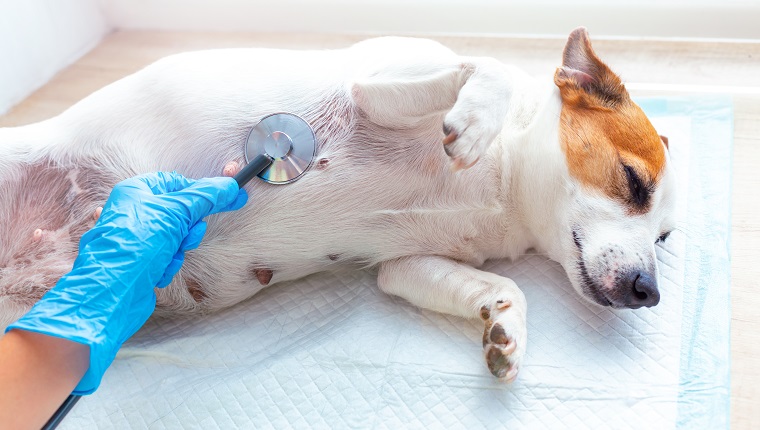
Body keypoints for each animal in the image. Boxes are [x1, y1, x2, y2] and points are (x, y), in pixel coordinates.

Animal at [0, 28, 676, 382]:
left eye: (665, 240)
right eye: (632, 181)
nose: (649, 292)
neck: (504, 187)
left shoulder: (405, 267)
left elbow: (500, 289)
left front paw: (505, 328)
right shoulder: (374, 87)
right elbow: (489, 68)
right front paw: (475, 122)